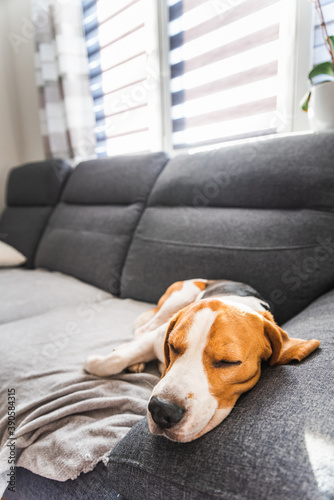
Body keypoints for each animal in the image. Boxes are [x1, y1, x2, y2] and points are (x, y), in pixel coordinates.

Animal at [83, 280, 318, 444]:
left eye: (228, 362)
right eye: (173, 347)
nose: (161, 410)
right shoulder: (158, 336)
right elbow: (114, 360)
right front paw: (95, 362)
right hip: (180, 296)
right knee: (143, 329)